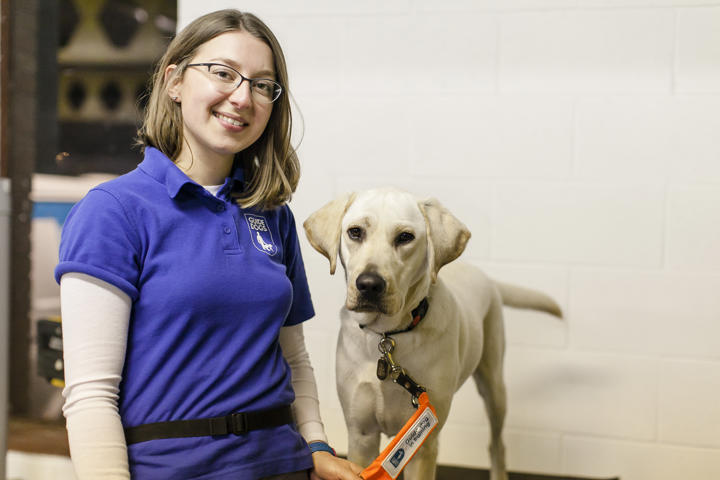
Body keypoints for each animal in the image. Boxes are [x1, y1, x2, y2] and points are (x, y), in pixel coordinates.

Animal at [304, 188, 564, 480]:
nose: (369, 284)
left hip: (494, 387)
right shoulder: (362, 436)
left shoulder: (423, 443)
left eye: (405, 237)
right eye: (355, 232)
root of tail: (486, 276)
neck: (388, 335)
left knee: (497, 443)